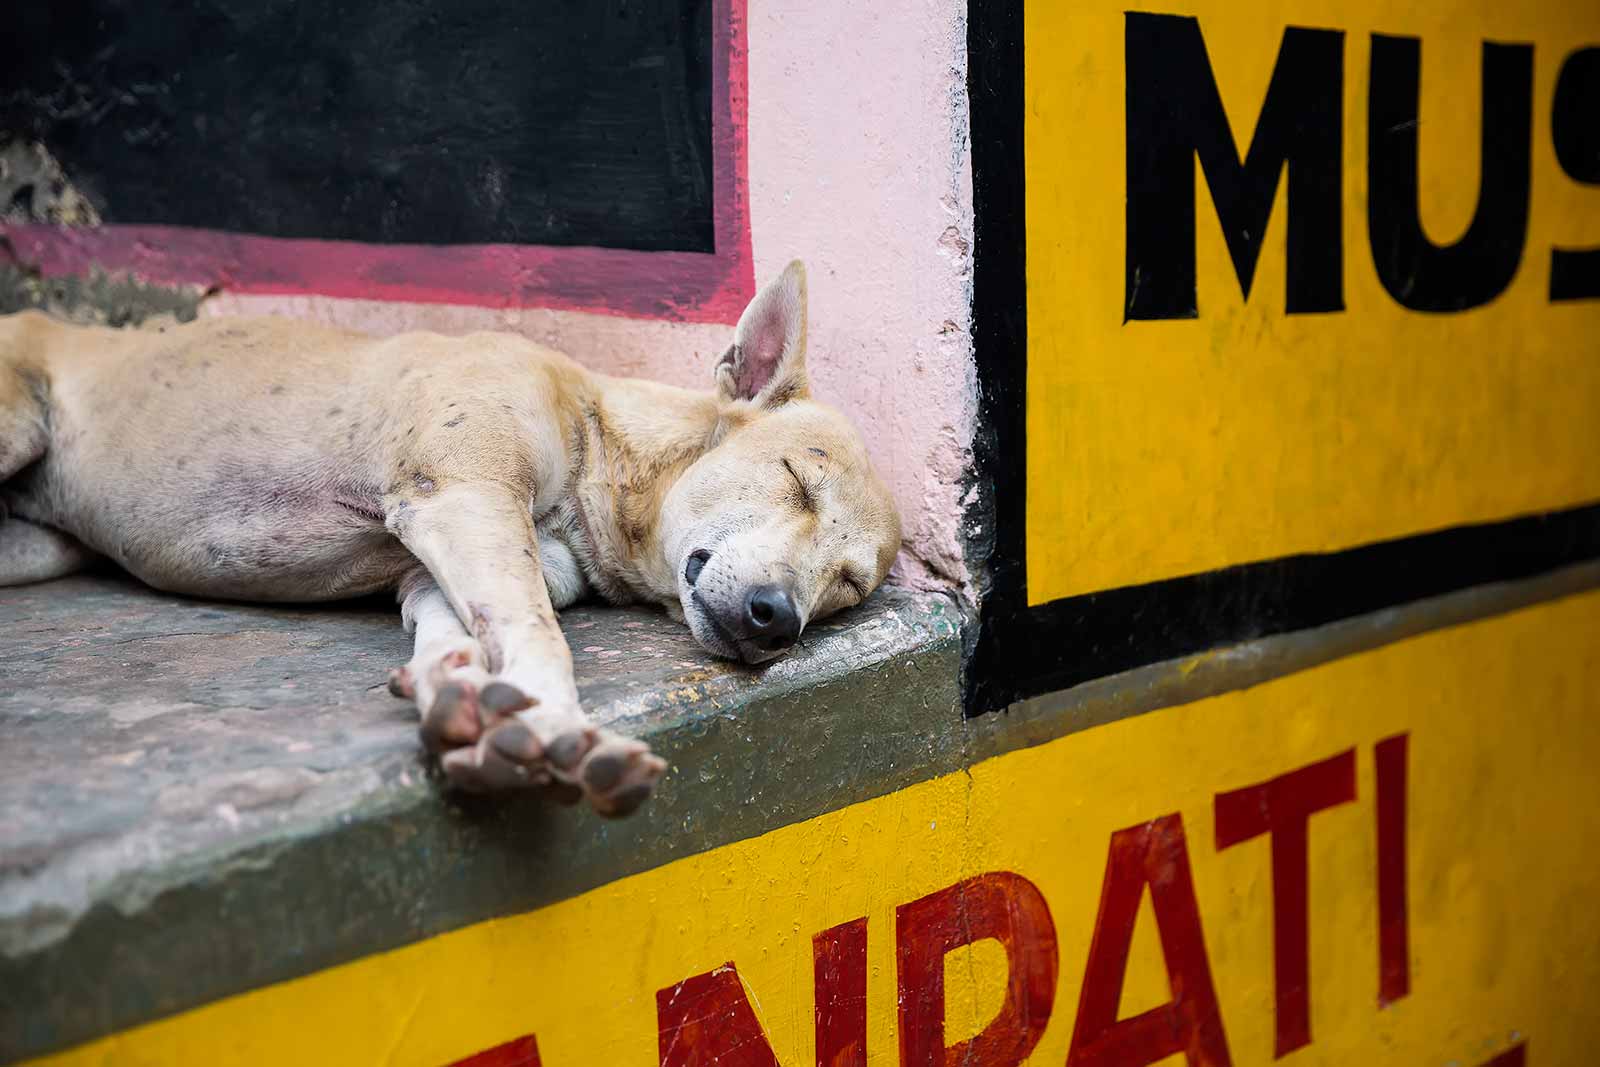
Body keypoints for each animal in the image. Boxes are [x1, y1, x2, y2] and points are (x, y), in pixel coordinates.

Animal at [0, 262, 902, 812]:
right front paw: (555, 729)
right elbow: (539, 632)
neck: (598, 441)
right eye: (795, 477)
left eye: (847, 586)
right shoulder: (464, 500)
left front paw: (466, 704)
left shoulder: (437, 560)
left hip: (39, 549)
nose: (775, 619)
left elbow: (458, 631)